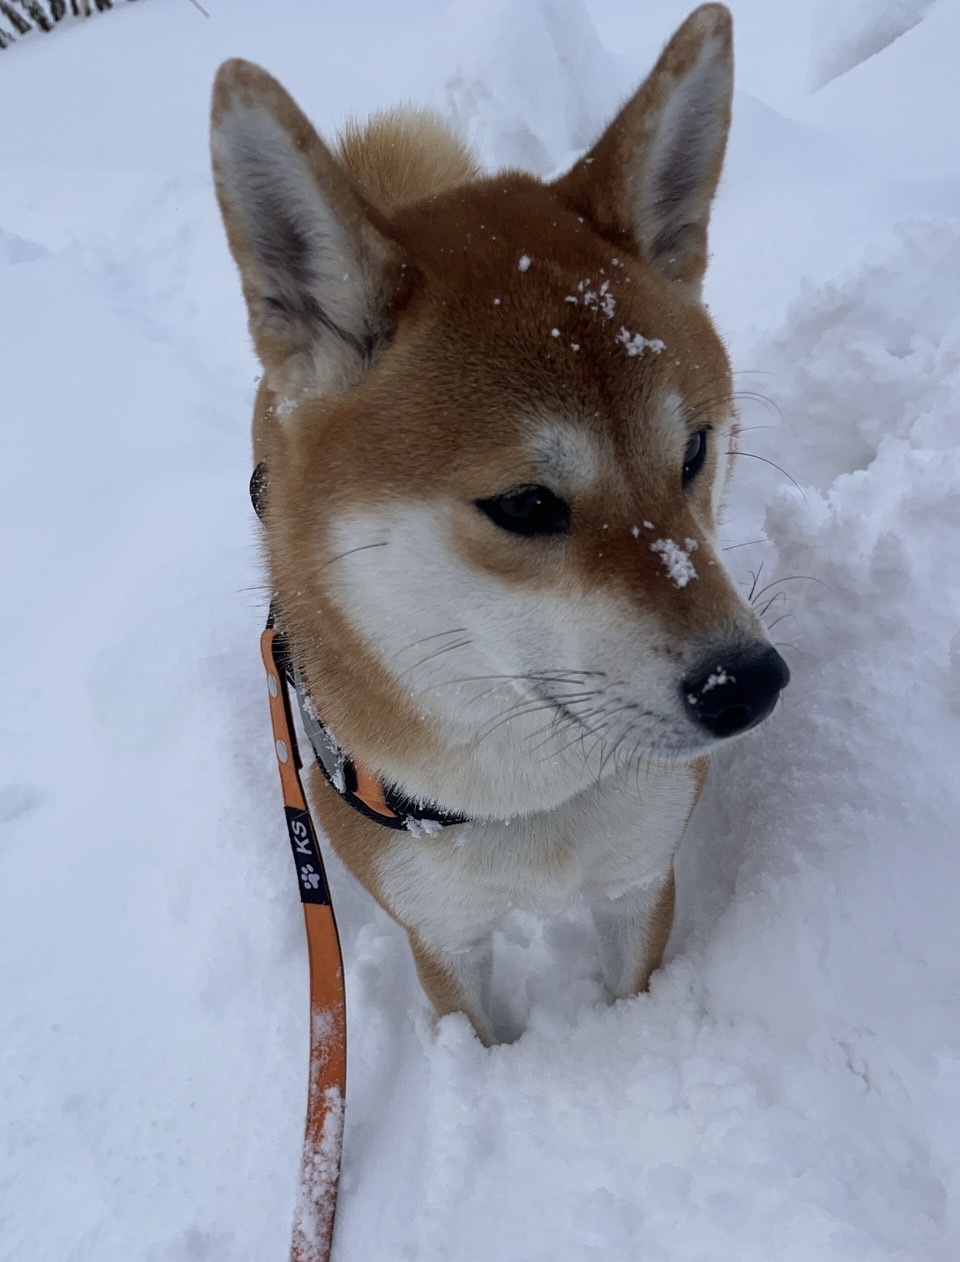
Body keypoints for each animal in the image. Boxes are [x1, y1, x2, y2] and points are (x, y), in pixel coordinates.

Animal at [209, 4, 787, 1039]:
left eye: (693, 451)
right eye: (524, 505)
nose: (748, 683)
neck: (529, 802)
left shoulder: (637, 886)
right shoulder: (443, 939)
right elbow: (476, 1037)